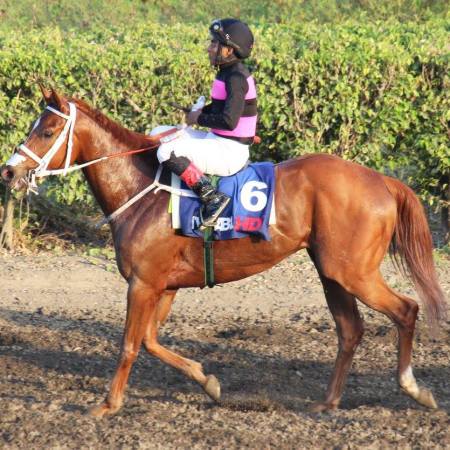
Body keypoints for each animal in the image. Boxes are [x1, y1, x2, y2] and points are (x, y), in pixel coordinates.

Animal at [1, 86, 447, 418]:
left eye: (46, 131)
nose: (9, 170)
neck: (140, 189)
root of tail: (381, 180)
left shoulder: (142, 283)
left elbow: (130, 344)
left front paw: (108, 404)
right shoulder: (164, 286)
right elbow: (150, 341)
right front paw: (209, 382)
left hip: (353, 271)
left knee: (406, 310)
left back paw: (415, 388)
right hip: (331, 271)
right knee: (350, 329)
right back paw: (328, 401)